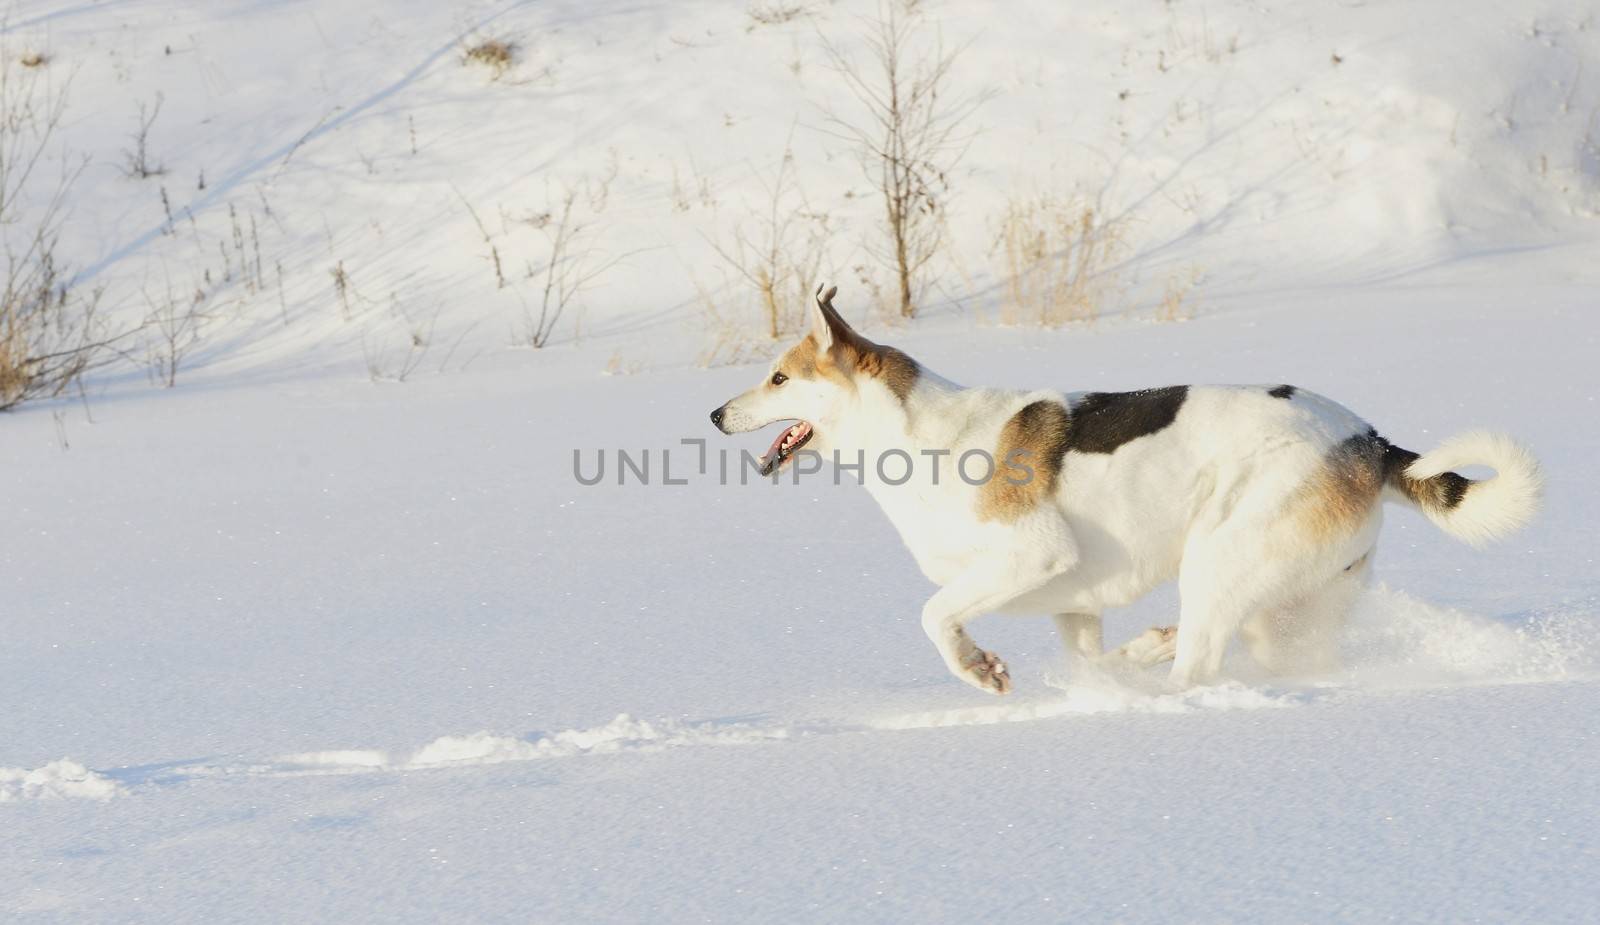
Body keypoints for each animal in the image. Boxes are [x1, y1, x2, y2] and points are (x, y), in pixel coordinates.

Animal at [710, 284, 1536, 688]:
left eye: (779, 377)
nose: (716, 414)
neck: (918, 435)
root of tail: (1365, 438)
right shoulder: (1073, 603)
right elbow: (1084, 657)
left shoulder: (1030, 556)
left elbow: (936, 616)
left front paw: (979, 669)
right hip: (1289, 607)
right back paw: (1153, 651)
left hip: (1221, 562)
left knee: (1198, 667)